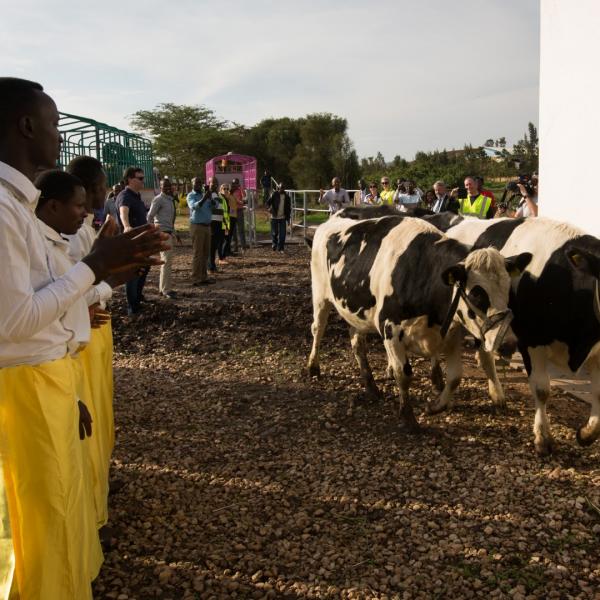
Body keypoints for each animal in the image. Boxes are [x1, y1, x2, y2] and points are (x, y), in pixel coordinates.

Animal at [310, 213, 528, 428]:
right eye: (476, 294)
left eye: (508, 290)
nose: (509, 344)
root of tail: (332, 220)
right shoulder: (389, 328)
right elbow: (404, 374)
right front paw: (408, 417)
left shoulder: (451, 332)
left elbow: (455, 376)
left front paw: (436, 406)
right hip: (320, 296)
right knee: (318, 329)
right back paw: (313, 367)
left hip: (358, 313)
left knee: (357, 341)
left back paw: (371, 386)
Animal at [446, 217, 600, 454]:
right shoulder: (531, 341)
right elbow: (542, 389)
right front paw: (543, 438)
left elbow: (598, 393)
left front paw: (586, 434)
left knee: (486, 355)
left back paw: (497, 396)